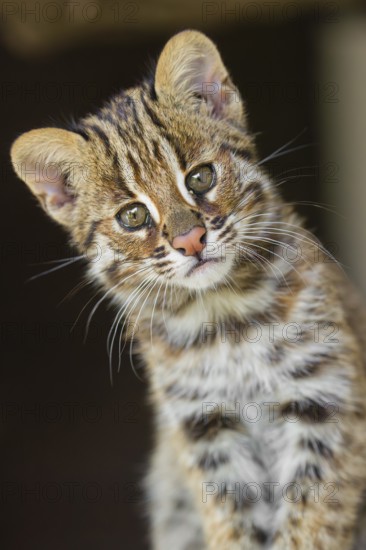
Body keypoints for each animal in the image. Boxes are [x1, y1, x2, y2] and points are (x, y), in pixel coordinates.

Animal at [10, 29, 366, 550]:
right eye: (132, 216)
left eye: (201, 177)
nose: (190, 241)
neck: (223, 317)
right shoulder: (205, 429)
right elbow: (231, 526)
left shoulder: (324, 401)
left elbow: (309, 526)